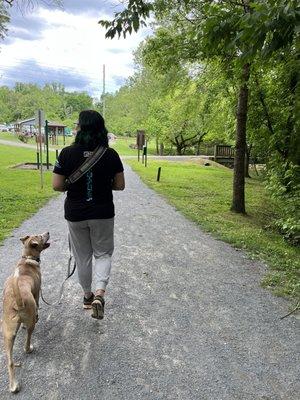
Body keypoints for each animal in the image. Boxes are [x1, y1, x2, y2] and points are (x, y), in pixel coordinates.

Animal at [1, 233, 49, 392]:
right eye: (40, 236)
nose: (47, 232)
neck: (28, 258)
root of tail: (18, 301)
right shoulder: (37, 294)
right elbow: (38, 305)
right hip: (30, 322)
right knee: (27, 339)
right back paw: (29, 348)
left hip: (7, 332)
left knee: (10, 362)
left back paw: (13, 386)